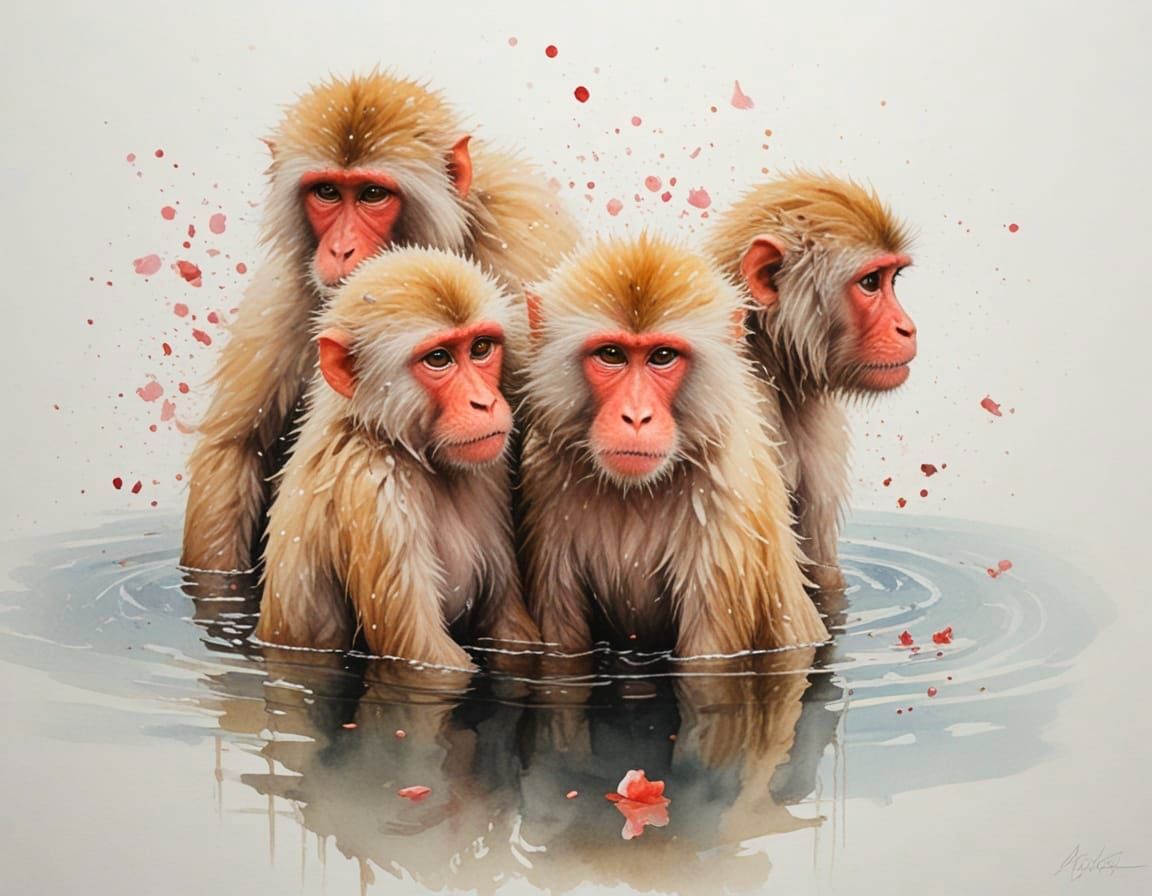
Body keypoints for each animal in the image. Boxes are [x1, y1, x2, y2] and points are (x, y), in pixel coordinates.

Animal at [181, 70, 579, 572]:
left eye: (372, 194)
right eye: (327, 192)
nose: (340, 250)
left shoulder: (524, 251)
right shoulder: (287, 290)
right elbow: (235, 447)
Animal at [252, 247, 538, 669]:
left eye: (481, 348)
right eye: (439, 358)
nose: (483, 403)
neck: (389, 438)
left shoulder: (487, 474)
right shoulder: (374, 494)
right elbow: (423, 655)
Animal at [516, 233, 829, 659]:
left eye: (662, 356)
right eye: (612, 354)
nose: (636, 417)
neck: (633, 491)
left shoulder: (726, 510)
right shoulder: (546, 484)